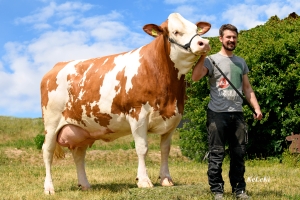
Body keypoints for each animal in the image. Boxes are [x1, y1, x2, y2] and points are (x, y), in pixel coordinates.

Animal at [40, 12, 211, 194]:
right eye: (176, 32)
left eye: (196, 29)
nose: (204, 43)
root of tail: (57, 66)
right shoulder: (137, 115)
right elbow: (142, 148)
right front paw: (143, 180)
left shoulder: (173, 118)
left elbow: (165, 149)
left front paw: (166, 179)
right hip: (51, 123)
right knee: (47, 151)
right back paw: (49, 188)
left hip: (82, 129)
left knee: (79, 154)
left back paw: (85, 184)